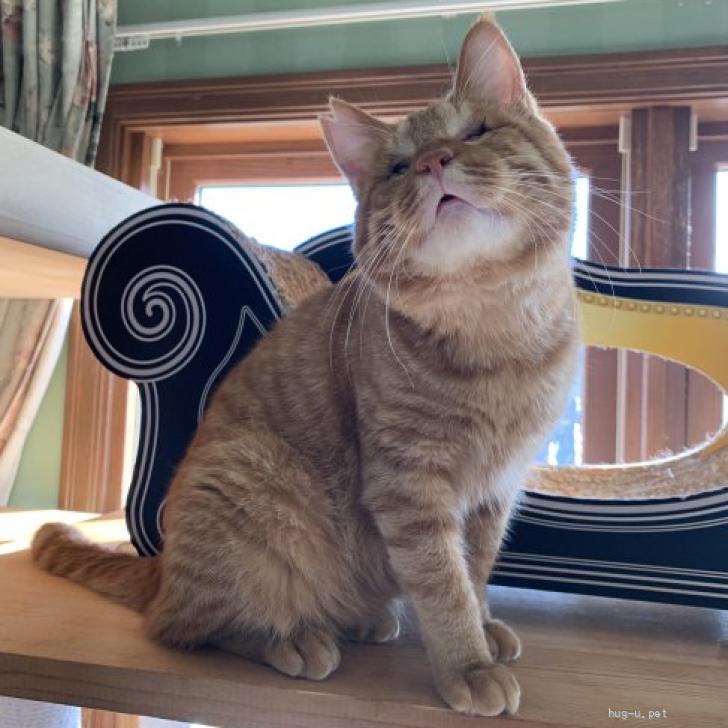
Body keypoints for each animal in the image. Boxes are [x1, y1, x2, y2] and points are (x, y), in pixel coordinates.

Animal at [32, 15, 577, 717]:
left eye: (476, 132)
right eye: (397, 167)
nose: (433, 161)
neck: (496, 332)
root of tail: (161, 568)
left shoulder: (494, 495)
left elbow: (475, 572)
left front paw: (483, 627)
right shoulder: (410, 489)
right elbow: (443, 582)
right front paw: (467, 661)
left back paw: (366, 619)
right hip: (251, 479)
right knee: (188, 627)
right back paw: (291, 638)